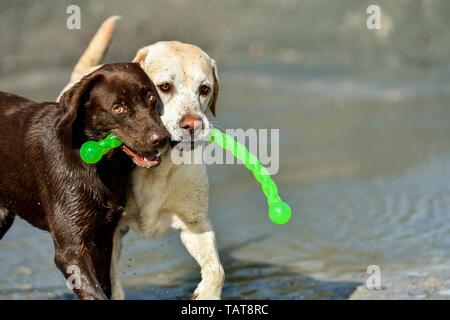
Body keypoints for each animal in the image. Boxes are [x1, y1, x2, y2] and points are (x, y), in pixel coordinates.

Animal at [0, 63, 169, 300]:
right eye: (118, 108)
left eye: (151, 97)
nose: (162, 139)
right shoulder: (71, 250)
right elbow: (94, 293)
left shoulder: (102, 239)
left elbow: (104, 287)